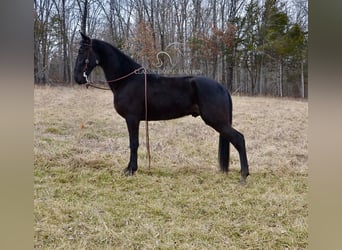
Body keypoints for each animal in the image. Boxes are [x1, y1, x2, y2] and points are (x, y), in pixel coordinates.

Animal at [73, 32, 248, 183]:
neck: (127, 80)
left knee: (239, 139)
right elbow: (133, 143)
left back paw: (244, 175)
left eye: (82, 51)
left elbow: (133, 143)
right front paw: (129, 168)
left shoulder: (132, 119)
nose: (77, 78)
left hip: (217, 121)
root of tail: (222, 87)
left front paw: (131, 170)